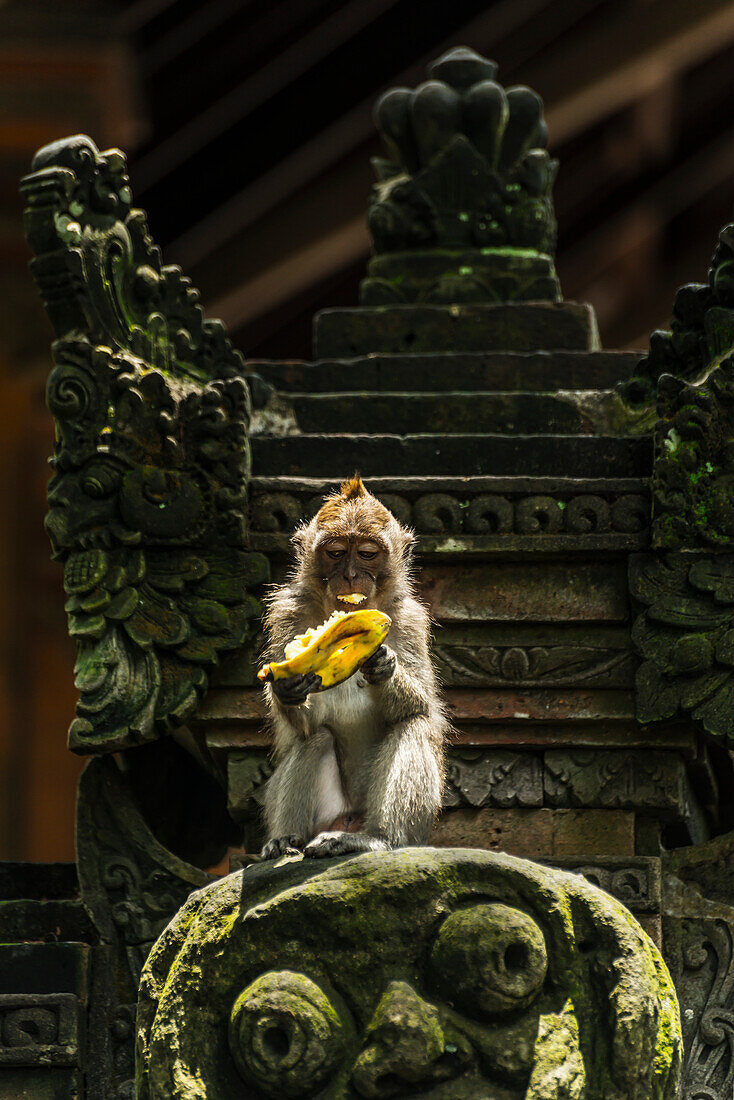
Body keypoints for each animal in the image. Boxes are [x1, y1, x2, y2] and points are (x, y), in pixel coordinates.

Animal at [260, 475, 451, 858]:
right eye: (335, 552)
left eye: (366, 553)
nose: (349, 575)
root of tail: (349, 818)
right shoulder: (286, 613)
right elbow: (301, 725)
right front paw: (286, 688)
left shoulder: (410, 619)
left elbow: (424, 706)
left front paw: (384, 665)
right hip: (328, 813)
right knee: (315, 738)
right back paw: (286, 839)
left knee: (413, 724)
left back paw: (377, 838)